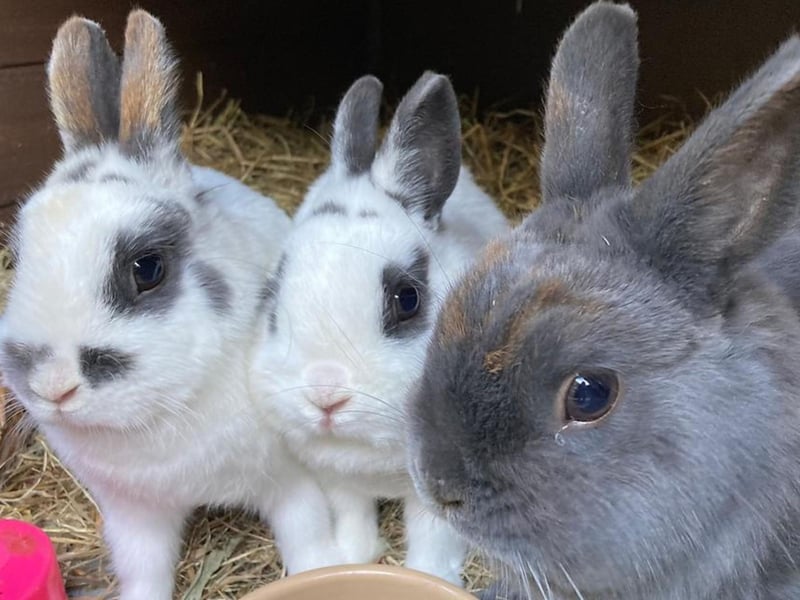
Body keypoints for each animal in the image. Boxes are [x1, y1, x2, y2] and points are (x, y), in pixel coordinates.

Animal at [0, 11, 345, 600]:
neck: (163, 414)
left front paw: (322, 574)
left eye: (147, 268)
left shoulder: (295, 483)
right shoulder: (134, 515)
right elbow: (145, 571)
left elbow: (309, 541)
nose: (53, 387)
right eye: (18, 255)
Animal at [248, 71, 509, 585]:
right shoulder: (338, 481)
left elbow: (433, 538)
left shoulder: (438, 488)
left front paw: (431, 576)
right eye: (272, 299)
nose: (325, 396)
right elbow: (351, 516)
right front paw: (353, 556)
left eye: (407, 299)